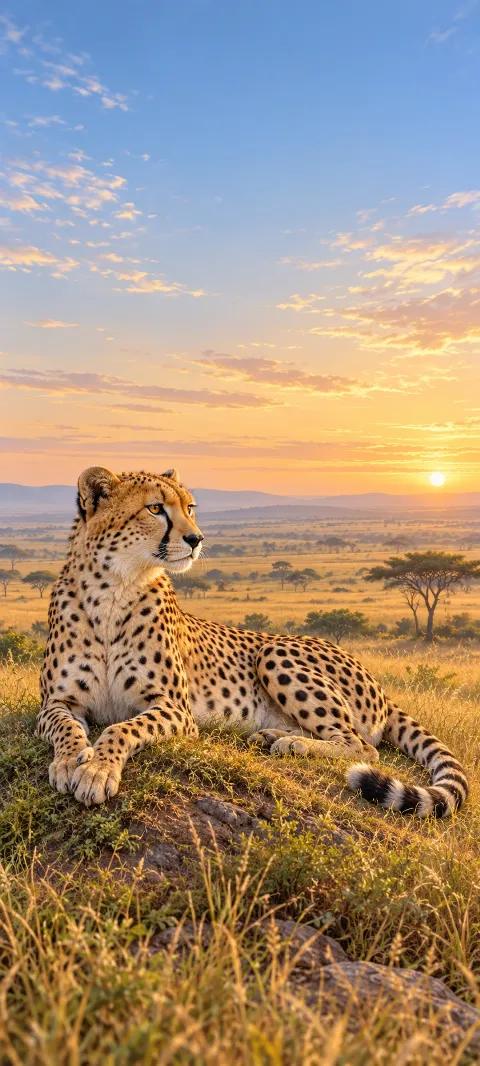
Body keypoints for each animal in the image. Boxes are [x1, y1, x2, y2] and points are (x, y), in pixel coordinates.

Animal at [37, 465, 469, 818]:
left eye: (190, 507)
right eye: (155, 508)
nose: (196, 539)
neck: (114, 588)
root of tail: (375, 681)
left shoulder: (175, 709)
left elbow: (121, 729)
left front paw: (96, 769)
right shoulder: (56, 702)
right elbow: (66, 728)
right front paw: (70, 762)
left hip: (274, 652)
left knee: (363, 745)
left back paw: (294, 746)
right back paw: (276, 736)